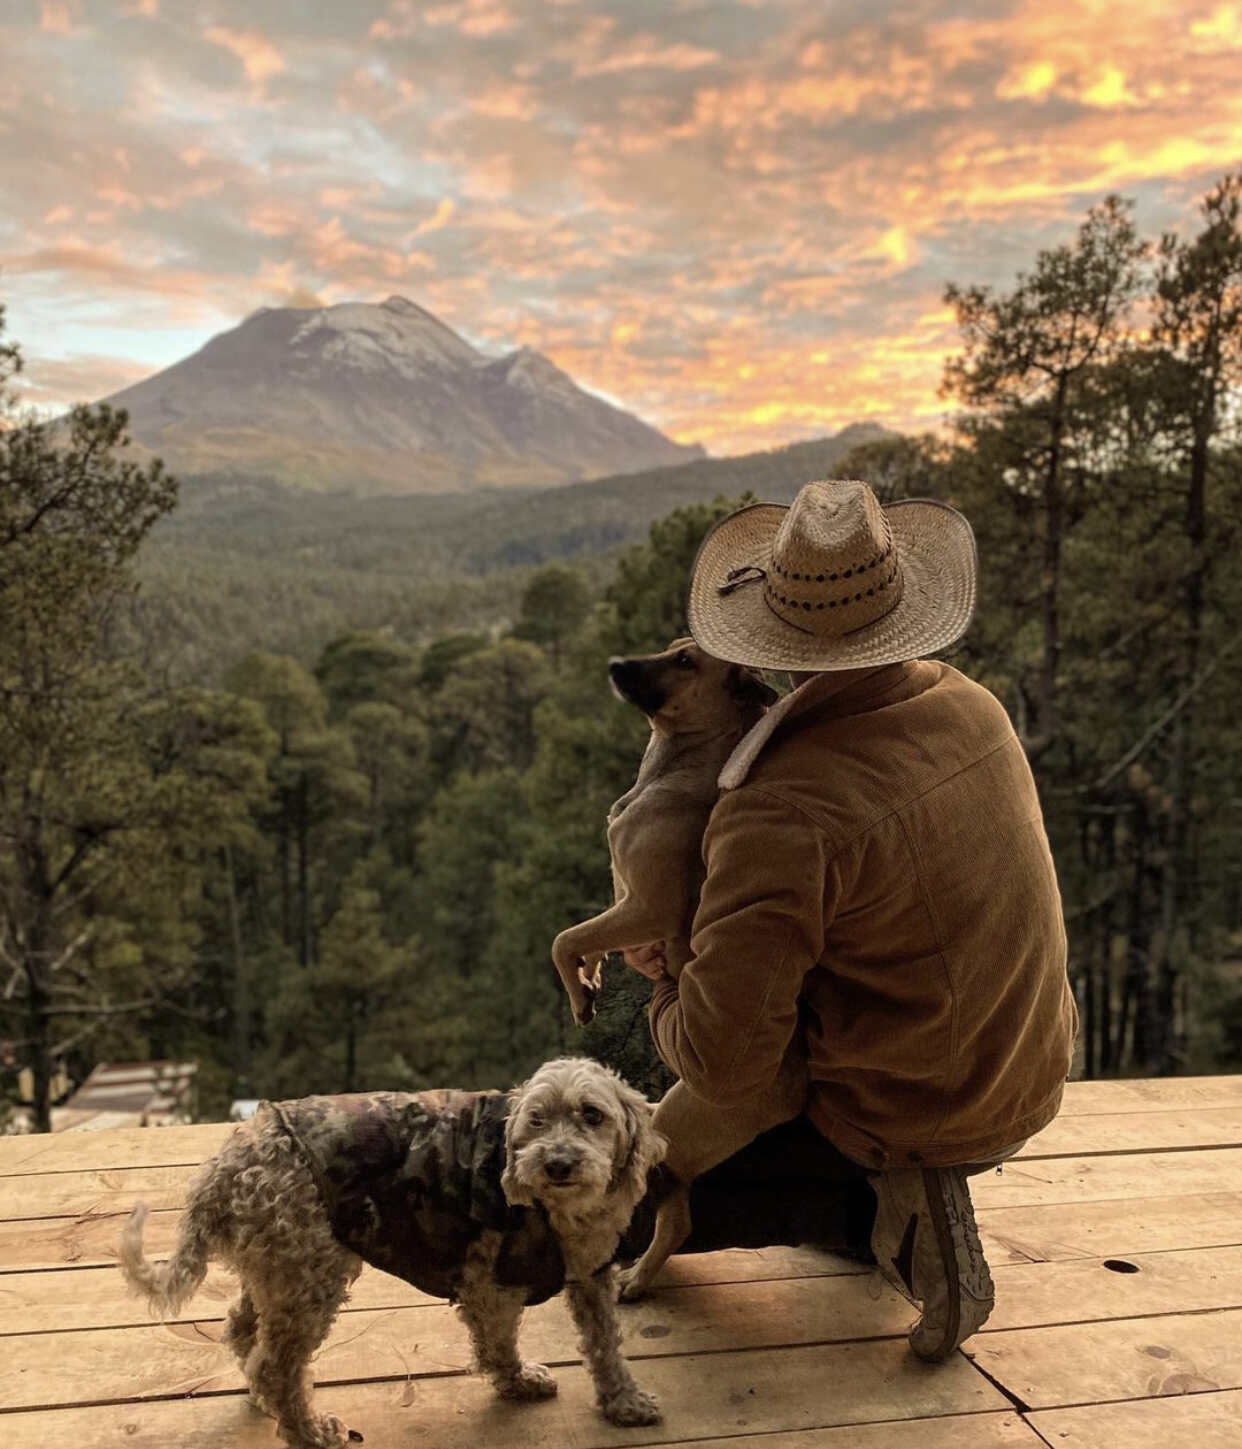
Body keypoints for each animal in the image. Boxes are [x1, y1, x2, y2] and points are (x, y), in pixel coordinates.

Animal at [550, 643, 805, 1304]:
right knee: (679, 1209)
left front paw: (580, 997)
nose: (615, 663)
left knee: (675, 1211)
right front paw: (590, 984)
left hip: (673, 1124)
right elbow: (584, 942)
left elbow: (565, 938)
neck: (671, 767)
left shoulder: (644, 907)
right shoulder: (623, 905)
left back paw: (635, 1276)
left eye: (688, 661)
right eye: (671, 646)